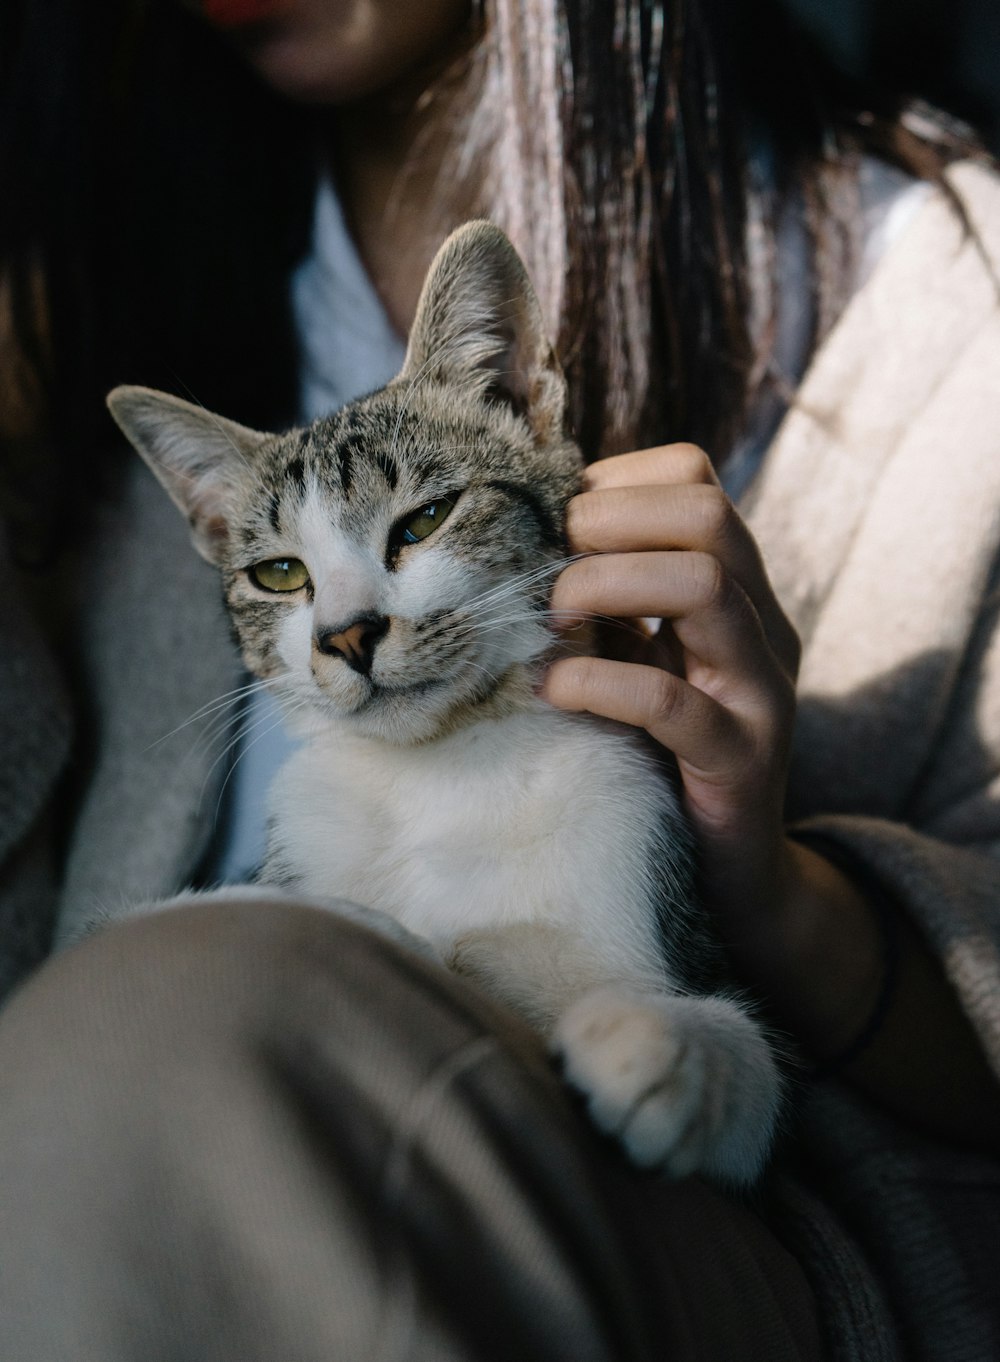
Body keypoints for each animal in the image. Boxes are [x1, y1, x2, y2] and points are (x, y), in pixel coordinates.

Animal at [109, 220, 784, 1182]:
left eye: (424, 520)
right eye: (279, 574)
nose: (347, 634)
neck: (440, 773)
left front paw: (667, 1045)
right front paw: (362, 925)